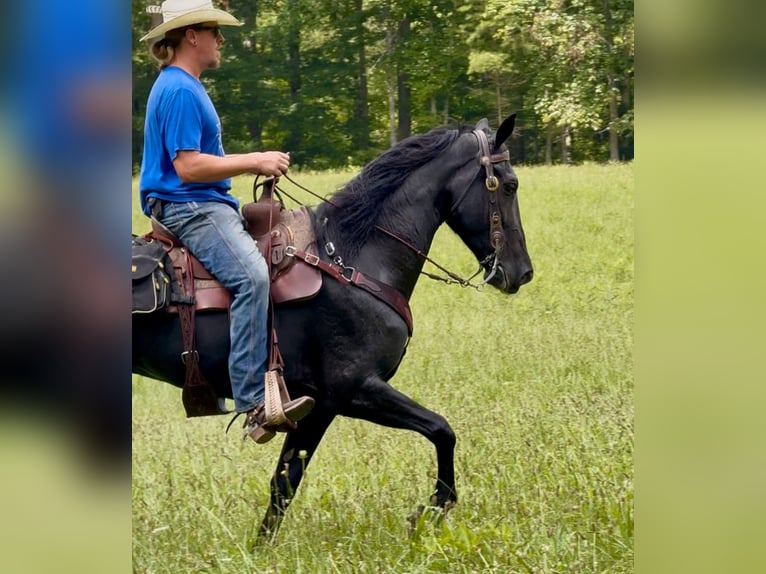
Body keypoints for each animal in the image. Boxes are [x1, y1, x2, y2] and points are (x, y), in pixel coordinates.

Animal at [132, 114, 533, 538]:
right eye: (509, 184)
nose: (522, 272)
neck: (352, 260)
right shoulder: (351, 390)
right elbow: (442, 429)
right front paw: (432, 508)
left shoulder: (318, 406)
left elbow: (284, 483)